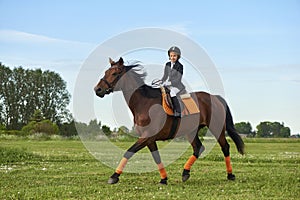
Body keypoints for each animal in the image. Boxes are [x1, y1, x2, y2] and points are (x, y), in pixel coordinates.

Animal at [94, 57, 244, 185]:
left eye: (114, 73)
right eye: (106, 72)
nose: (97, 89)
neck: (144, 102)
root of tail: (215, 97)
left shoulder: (147, 136)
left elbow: (129, 152)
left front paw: (114, 176)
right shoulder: (149, 139)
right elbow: (157, 158)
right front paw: (164, 179)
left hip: (216, 127)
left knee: (225, 147)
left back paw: (230, 175)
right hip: (191, 131)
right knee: (198, 148)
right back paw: (185, 173)